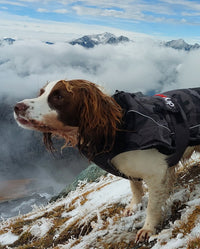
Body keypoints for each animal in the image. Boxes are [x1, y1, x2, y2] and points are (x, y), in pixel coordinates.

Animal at [13, 80, 200, 243]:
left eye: (58, 96)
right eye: (42, 93)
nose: (16, 107)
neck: (117, 128)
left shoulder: (156, 173)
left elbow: (153, 207)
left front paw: (148, 229)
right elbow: (135, 187)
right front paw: (134, 205)